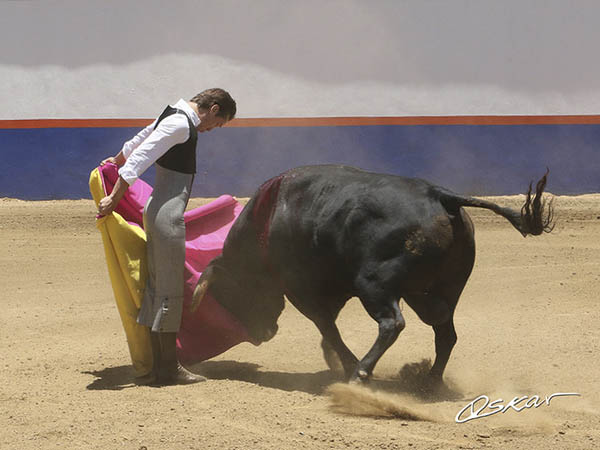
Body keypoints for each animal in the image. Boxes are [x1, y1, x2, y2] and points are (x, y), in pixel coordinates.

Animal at [190, 165, 554, 392]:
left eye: (232, 293)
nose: (262, 335)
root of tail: (441, 195)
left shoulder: (302, 290)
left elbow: (327, 326)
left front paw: (347, 364)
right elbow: (329, 328)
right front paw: (335, 362)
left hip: (374, 285)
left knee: (393, 323)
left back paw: (361, 374)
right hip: (436, 292)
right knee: (445, 333)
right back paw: (429, 381)